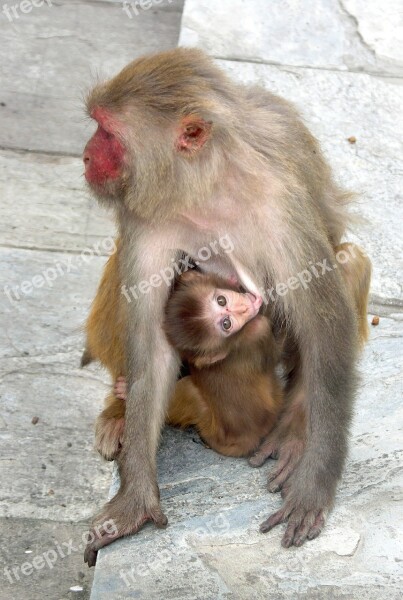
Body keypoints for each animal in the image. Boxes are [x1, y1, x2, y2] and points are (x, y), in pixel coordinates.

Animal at [83, 48, 364, 564]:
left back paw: (295, 428)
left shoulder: (281, 206)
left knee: (346, 263)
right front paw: (135, 500)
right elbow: (152, 346)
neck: (206, 186)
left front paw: (315, 480)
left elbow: (325, 329)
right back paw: (118, 411)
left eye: (107, 132)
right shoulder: (146, 215)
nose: (87, 156)